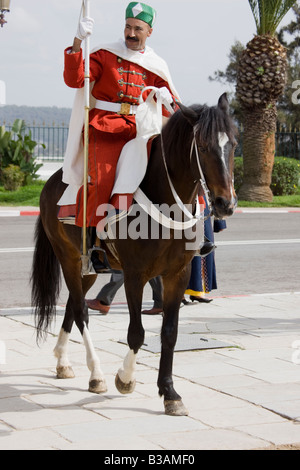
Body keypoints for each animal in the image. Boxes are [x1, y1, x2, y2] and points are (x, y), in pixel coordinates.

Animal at [30, 92, 237, 414]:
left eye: (234, 145)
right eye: (202, 146)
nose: (225, 203)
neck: (168, 203)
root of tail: (53, 179)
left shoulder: (178, 274)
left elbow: (169, 332)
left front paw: (170, 392)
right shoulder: (135, 275)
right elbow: (136, 332)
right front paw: (125, 378)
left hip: (89, 268)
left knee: (72, 307)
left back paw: (64, 362)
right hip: (69, 258)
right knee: (80, 311)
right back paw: (96, 374)